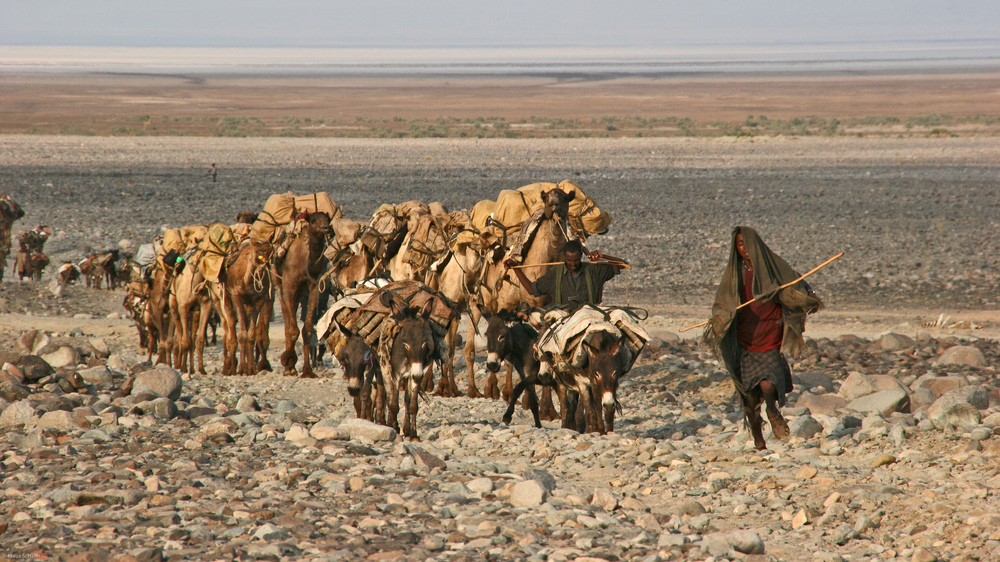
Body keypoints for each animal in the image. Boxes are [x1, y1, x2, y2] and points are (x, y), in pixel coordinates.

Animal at [278, 210, 332, 376]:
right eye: (313, 221)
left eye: (327, 219)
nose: (326, 227)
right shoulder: (289, 288)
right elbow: (293, 330)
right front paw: (288, 361)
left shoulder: (314, 287)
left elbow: (307, 329)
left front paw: (308, 370)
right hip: (280, 288)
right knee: (288, 323)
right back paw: (288, 366)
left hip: (301, 295)